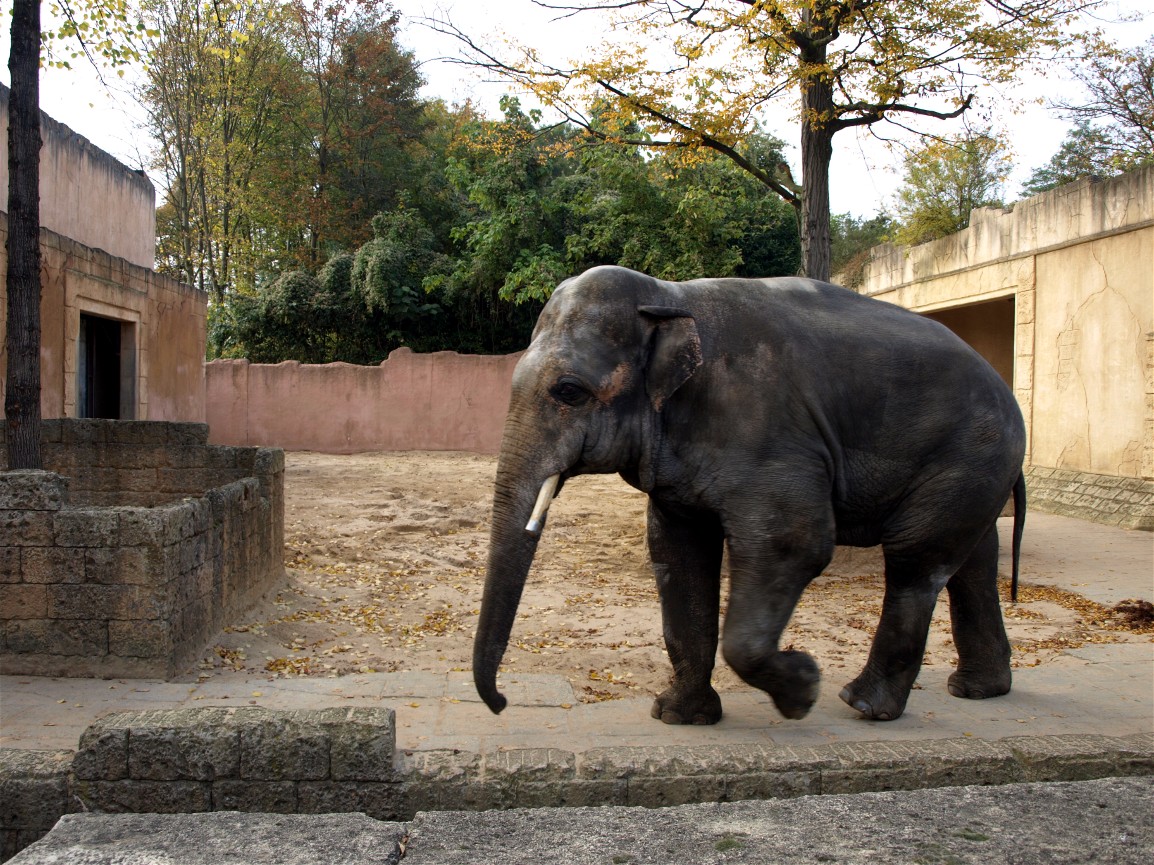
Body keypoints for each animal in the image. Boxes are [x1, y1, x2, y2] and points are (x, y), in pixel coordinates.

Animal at [474, 265, 1026, 724]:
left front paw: (803, 689)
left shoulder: (767, 433)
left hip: (968, 453)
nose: (501, 703)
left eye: (568, 391)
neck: (668, 297)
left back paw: (863, 705)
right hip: (975, 470)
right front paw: (679, 717)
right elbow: (678, 551)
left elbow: (793, 543)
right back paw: (978, 690)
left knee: (915, 563)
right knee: (971, 561)